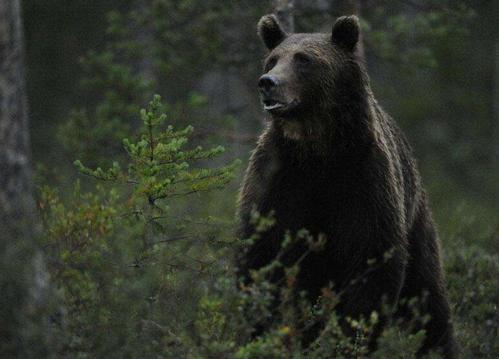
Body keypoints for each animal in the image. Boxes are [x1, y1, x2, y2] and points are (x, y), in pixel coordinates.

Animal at [236, 13, 458, 358]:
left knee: (427, 296)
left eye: (304, 59)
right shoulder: (280, 180)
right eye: (272, 59)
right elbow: (261, 253)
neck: (317, 150)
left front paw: (351, 337)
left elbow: (372, 263)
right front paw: (257, 334)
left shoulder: (361, 180)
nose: (267, 82)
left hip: (417, 220)